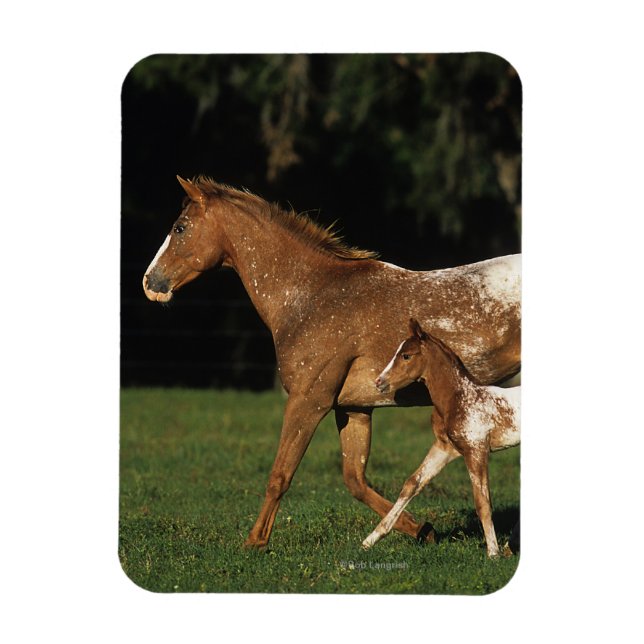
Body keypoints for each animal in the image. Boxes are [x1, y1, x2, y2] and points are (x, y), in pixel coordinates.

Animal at [363, 318, 520, 557]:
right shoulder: (445, 448)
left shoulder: (476, 450)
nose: (379, 382)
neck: (460, 398)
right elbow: (412, 483)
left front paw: (492, 553)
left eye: (406, 355)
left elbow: (482, 502)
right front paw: (371, 539)